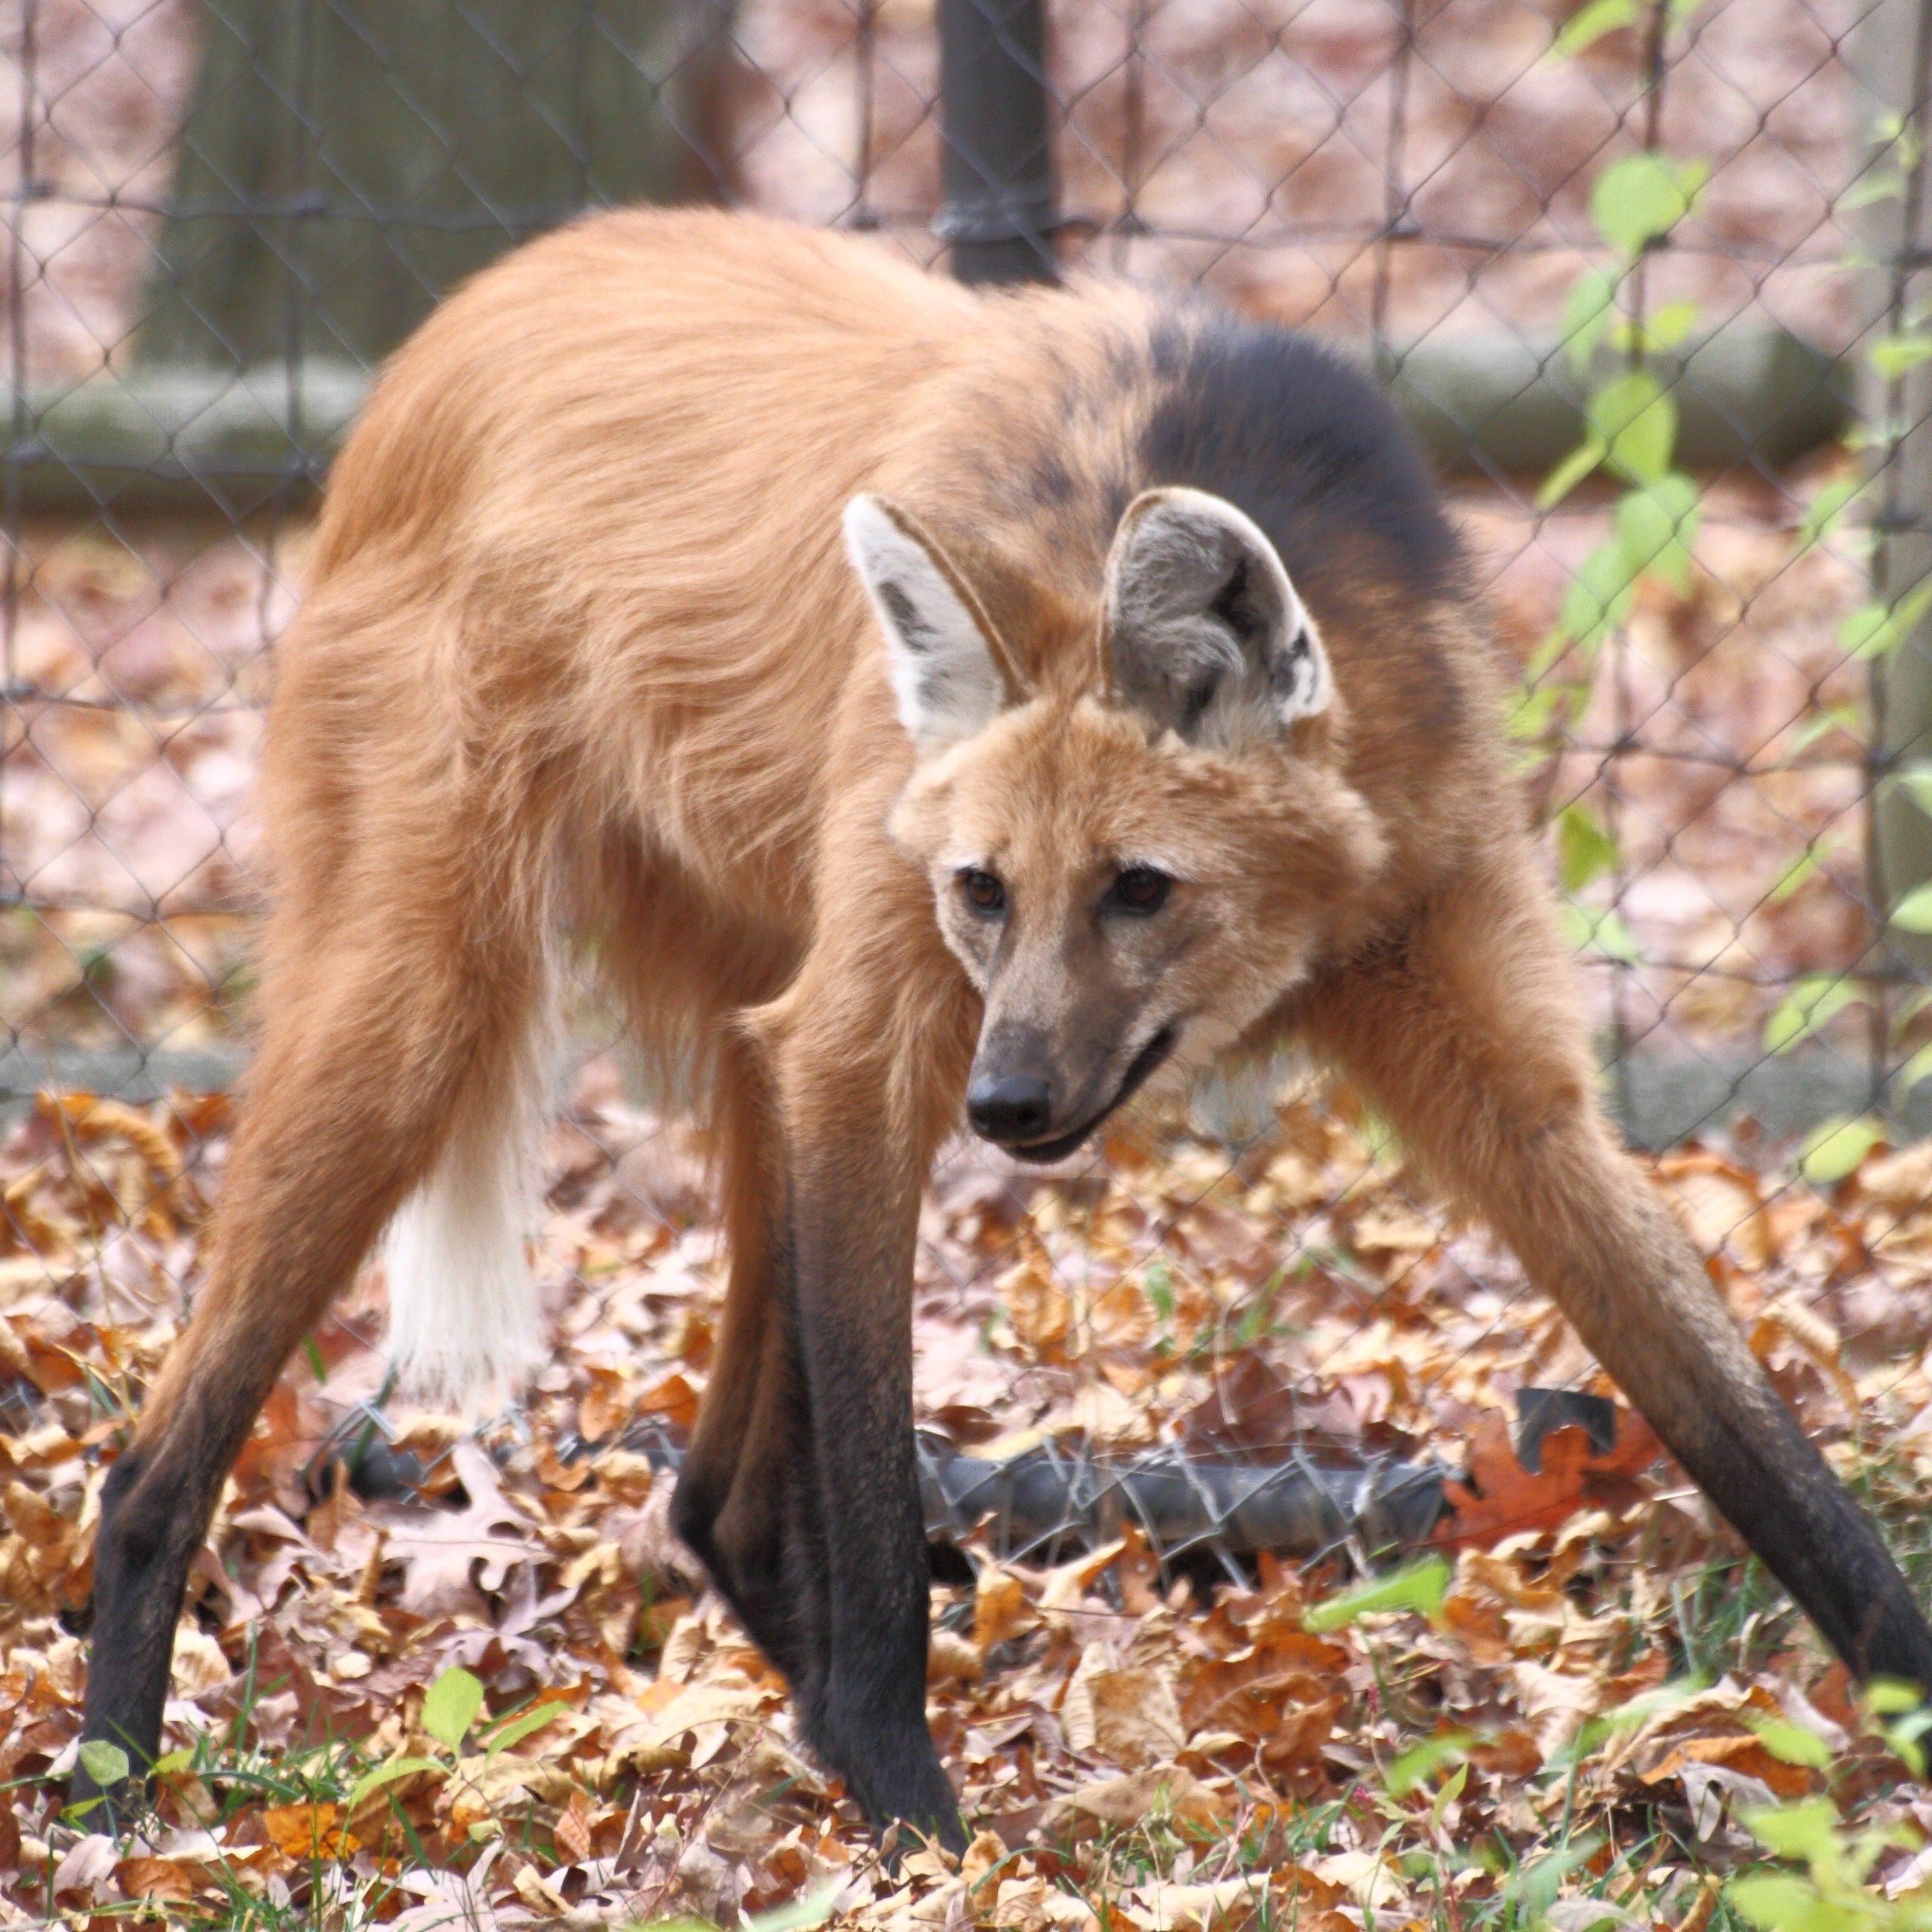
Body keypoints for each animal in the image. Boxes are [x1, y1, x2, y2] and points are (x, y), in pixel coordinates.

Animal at [76, 209, 1932, 1847]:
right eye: (987, 888)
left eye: (1141, 890)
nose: (1015, 1105)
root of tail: (444, 330)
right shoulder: (882, 1042)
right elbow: (880, 1499)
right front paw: (922, 1830)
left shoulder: (1491, 1050)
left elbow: (1753, 1435)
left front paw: (1906, 1723)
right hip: (438, 1011)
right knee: (159, 1455)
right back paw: (110, 1792)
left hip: (757, 1028)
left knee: (715, 1492)